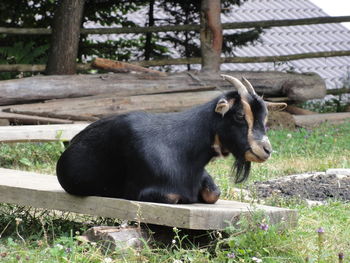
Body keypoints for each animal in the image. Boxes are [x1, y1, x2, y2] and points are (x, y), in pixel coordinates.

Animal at [56, 75, 288, 205]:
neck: (184, 148)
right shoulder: (146, 192)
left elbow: (214, 193)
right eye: (240, 115)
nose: (266, 150)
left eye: (265, 117)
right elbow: (175, 197)